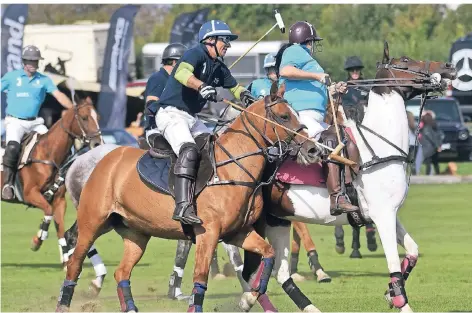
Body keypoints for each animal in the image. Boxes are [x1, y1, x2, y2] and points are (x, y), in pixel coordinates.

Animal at [0, 95, 103, 266]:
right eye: (84, 117)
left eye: (98, 117)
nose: (97, 143)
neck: (50, 154)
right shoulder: (30, 194)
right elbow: (48, 211)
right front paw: (37, 240)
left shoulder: (59, 199)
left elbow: (60, 226)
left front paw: (66, 259)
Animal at [55, 95, 320, 312]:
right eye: (284, 116)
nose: (313, 150)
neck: (232, 169)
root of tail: (98, 158)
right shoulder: (208, 233)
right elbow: (201, 277)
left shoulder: (238, 232)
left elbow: (269, 254)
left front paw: (248, 299)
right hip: (92, 223)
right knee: (75, 263)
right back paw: (64, 304)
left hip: (135, 233)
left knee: (122, 272)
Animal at [238, 42, 456, 312]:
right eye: (405, 60)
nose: (447, 67)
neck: (378, 145)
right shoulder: (383, 215)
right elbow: (394, 265)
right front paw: (400, 300)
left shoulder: (387, 214)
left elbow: (413, 251)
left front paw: (389, 294)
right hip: (254, 221)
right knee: (247, 269)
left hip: (277, 220)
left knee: (277, 273)